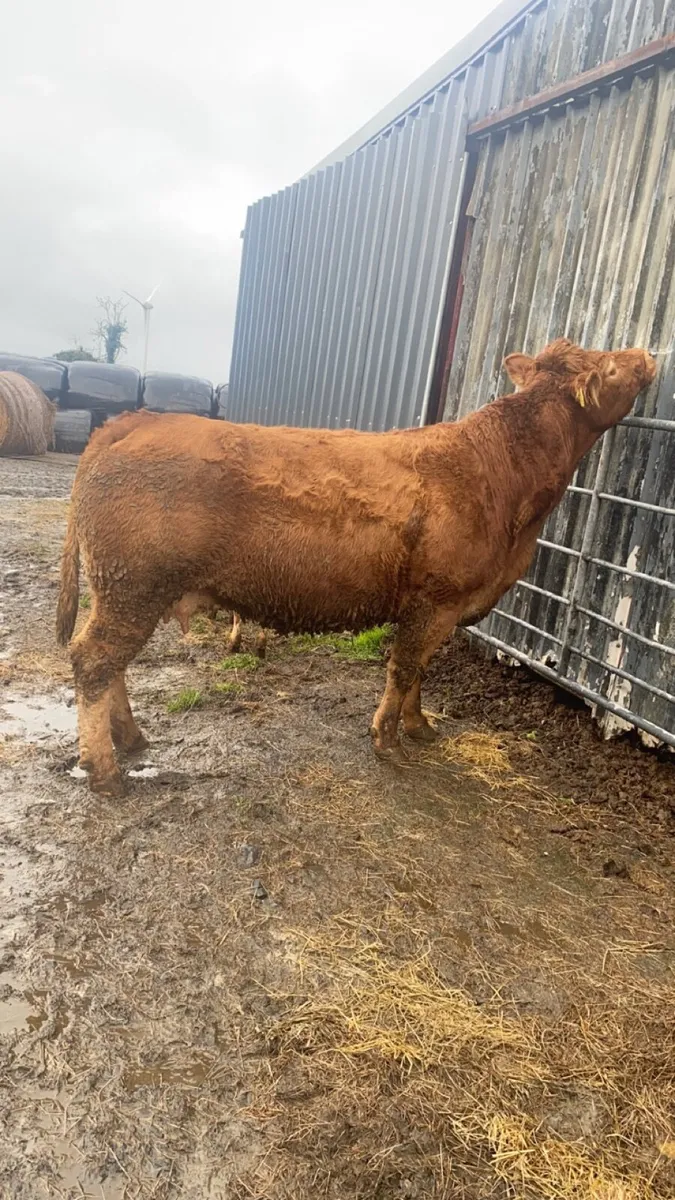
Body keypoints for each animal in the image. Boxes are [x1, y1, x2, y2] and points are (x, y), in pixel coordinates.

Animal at [56, 339, 655, 797]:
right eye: (610, 364)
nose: (647, 354)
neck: (501, 474)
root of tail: (136, 421)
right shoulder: (434, 600)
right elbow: (404, 667)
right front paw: (387, 738)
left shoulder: (439, 607)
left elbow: (421, 671)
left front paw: (419, 726)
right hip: (133, 587)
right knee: (93, 661)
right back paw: (106, 771)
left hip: (123, 591)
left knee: (107, 664)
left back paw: (129, 739)